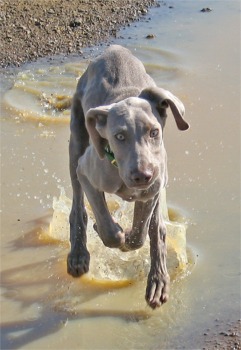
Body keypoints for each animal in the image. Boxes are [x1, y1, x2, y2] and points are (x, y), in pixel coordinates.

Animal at [67, 44, 189, 308]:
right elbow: (106, 224)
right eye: (119, 136)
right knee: (77, 208)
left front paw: (130, 242)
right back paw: (78, 254)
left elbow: (142, 233)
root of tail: (115, 48)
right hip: (76, 142)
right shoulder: (86, 173)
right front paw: (111, 234)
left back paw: (158, 281)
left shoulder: (152, 190)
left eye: (154, 132)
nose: (142, 175)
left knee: (157, 228)